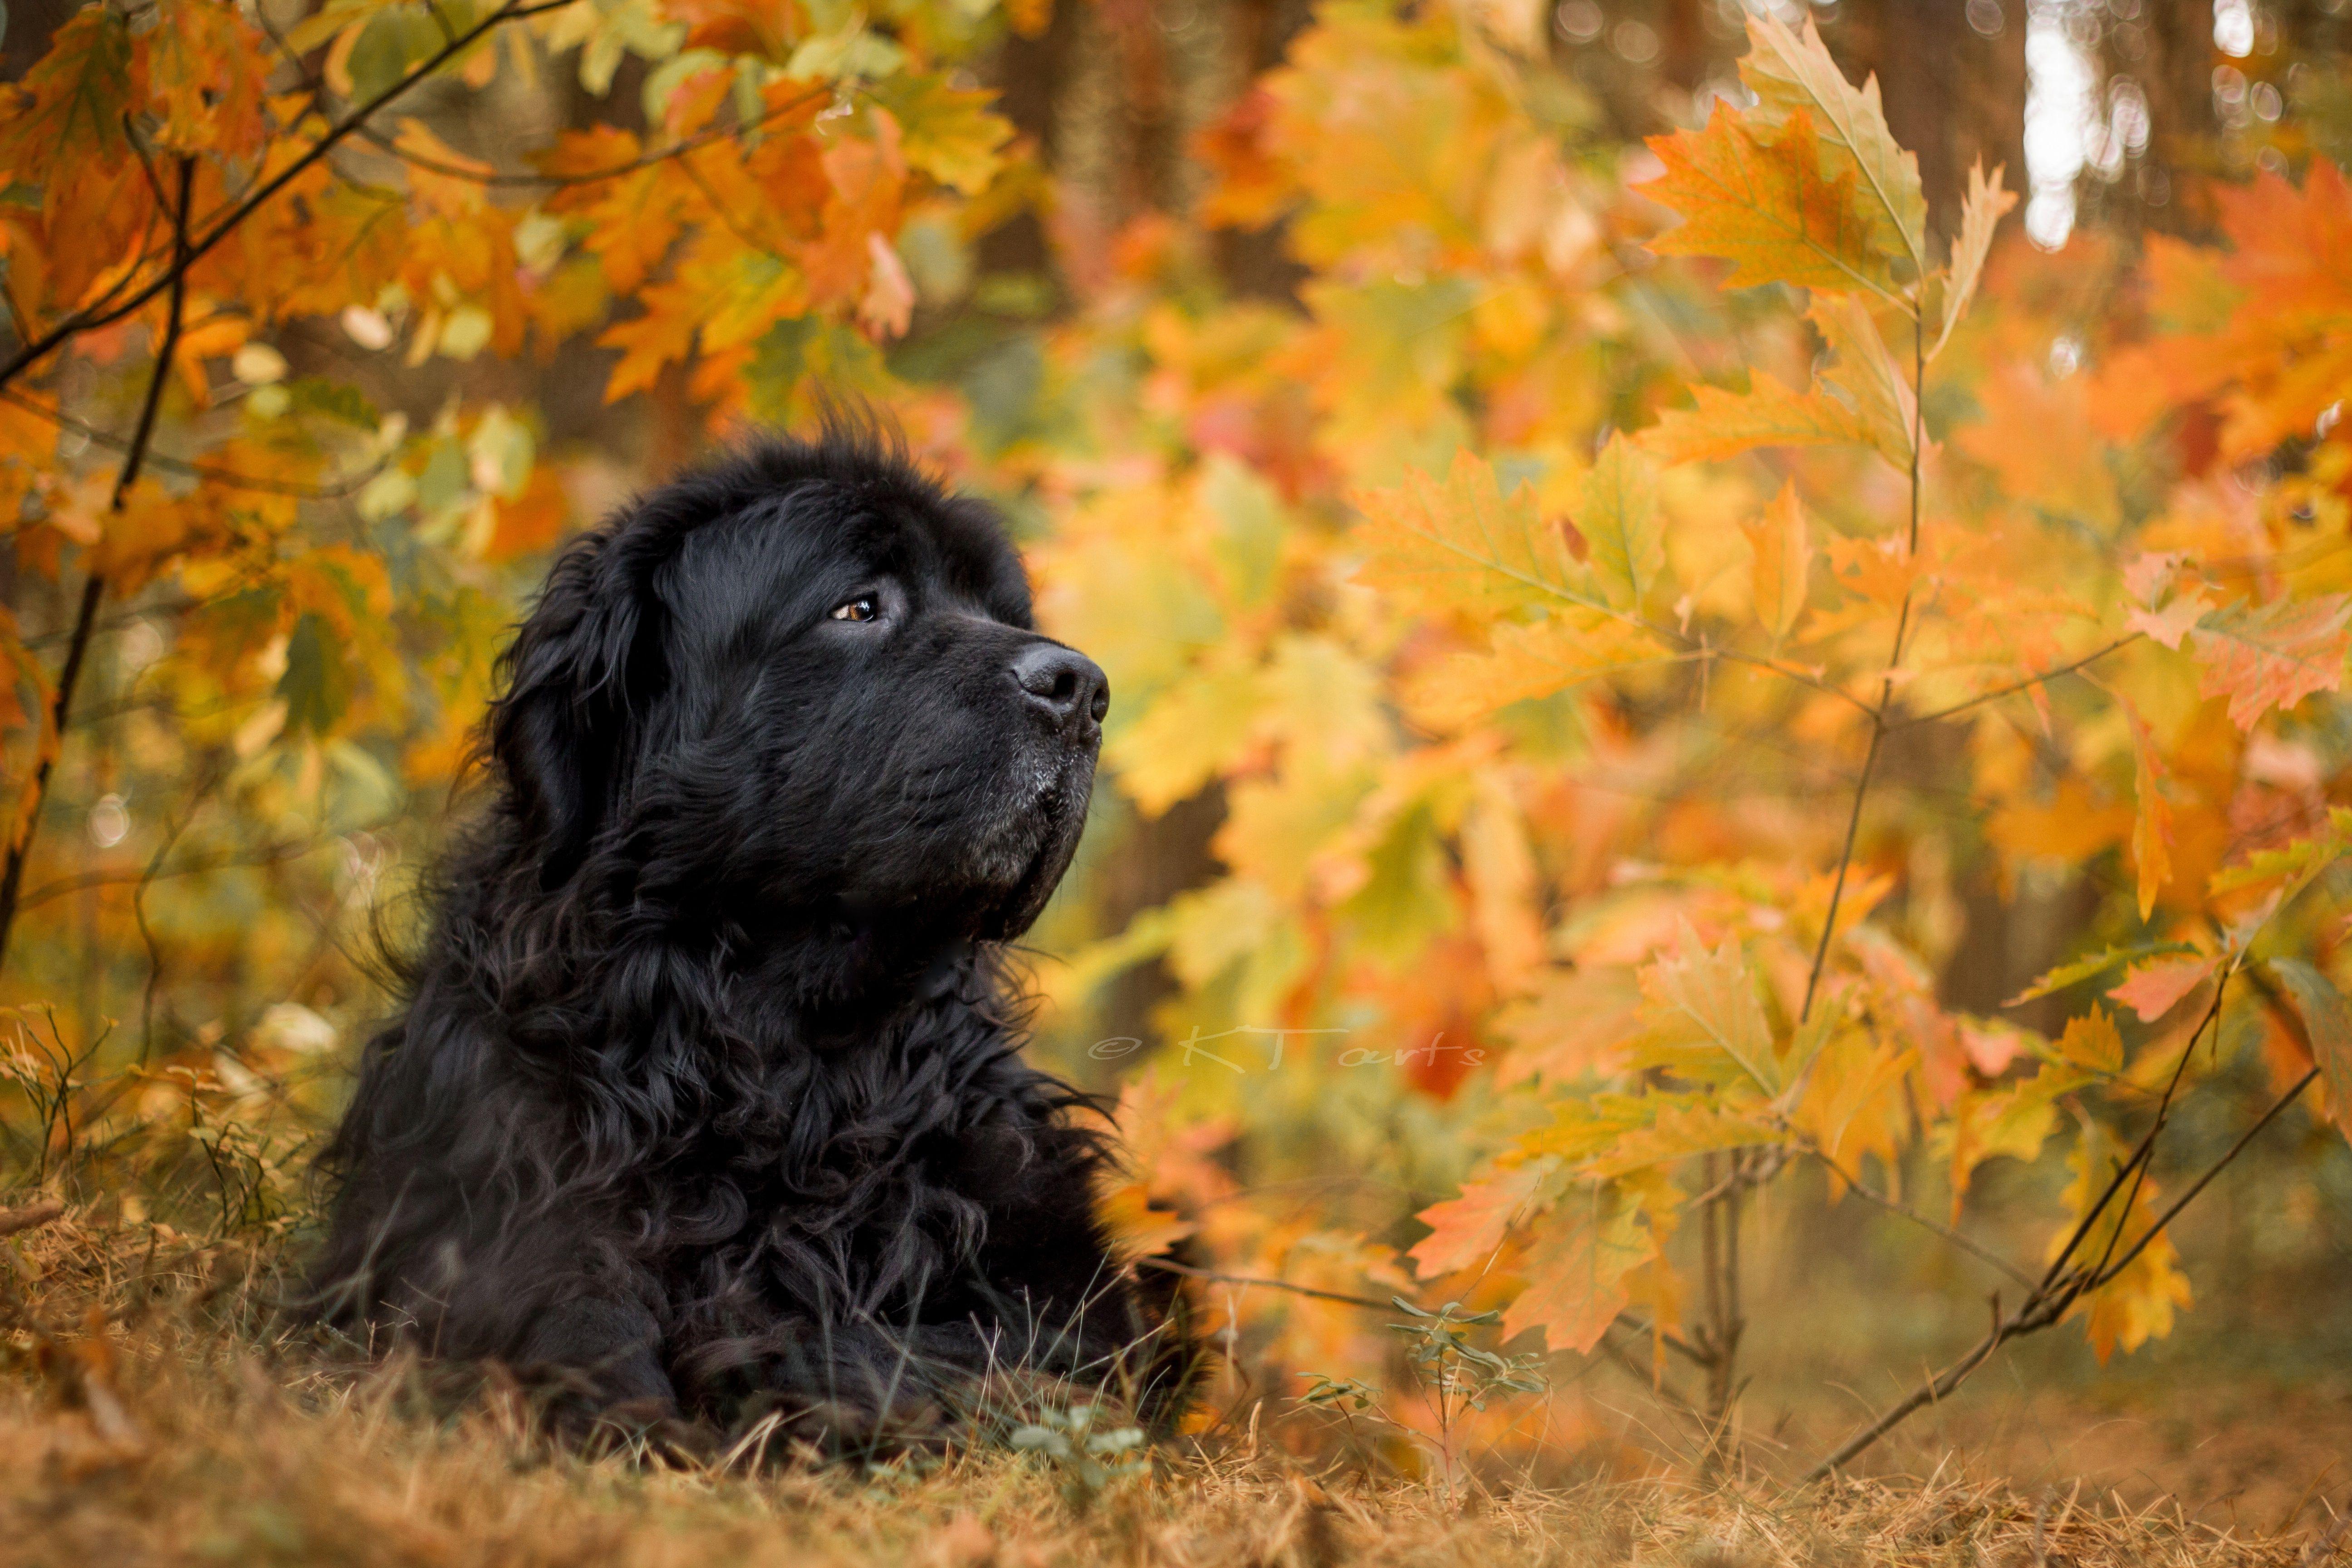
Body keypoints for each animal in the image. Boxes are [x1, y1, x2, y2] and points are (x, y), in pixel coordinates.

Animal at [301, 416, 1195, 1448]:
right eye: (858, 607)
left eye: (999, 608)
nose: (1080, 687)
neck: (777, 1063)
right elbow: (546, 1299)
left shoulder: (1064, 1300)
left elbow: (932, 1349)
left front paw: (750, 1366)